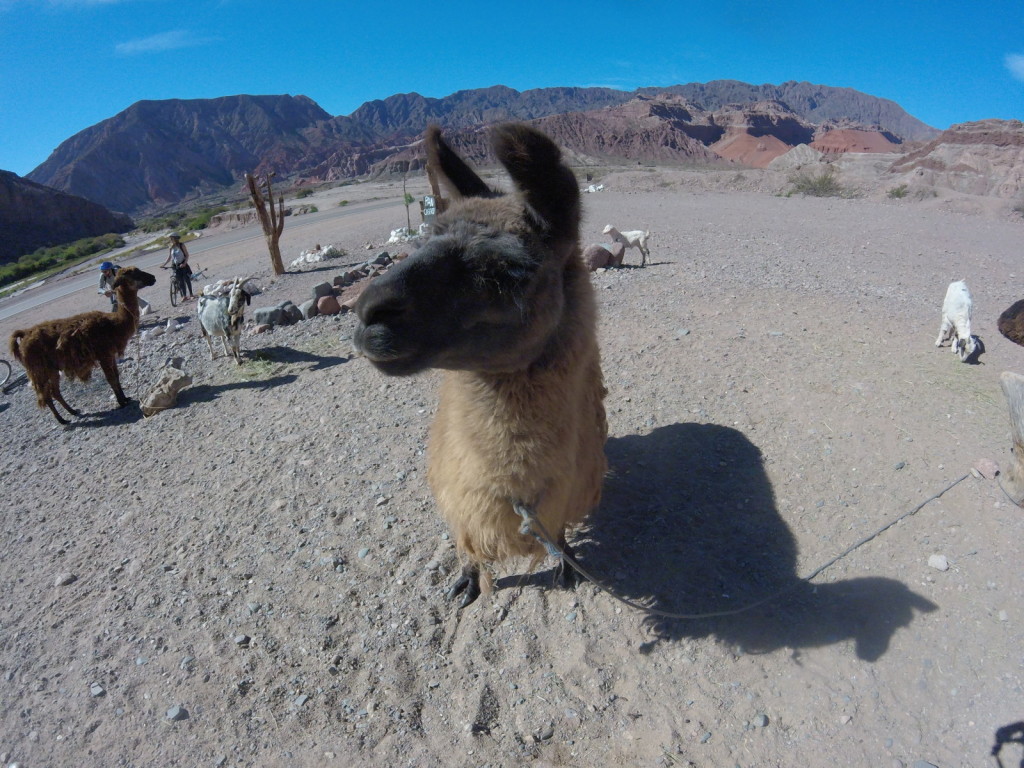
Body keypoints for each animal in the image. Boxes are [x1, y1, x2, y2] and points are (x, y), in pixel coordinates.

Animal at [8, 264, 155, 421]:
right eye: (133, 274)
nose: (153, 278)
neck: (114, 324)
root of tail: (25, 334)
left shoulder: (110, 354)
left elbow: (116, 376)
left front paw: (126, 398)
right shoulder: (103, 354)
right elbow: (111, 378)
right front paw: (121, 402)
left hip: (51, 368)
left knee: (54, 392)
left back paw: (73, 412)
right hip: (39, 369)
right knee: (46, 395)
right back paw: (62, 420)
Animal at [354, 123, 606, 610]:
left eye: (508, 269)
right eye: (421, 241)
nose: (369, 312)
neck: (515, 499)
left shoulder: (568, 493)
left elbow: (561, 531)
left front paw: (566, 563)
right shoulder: (460, 499)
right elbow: (467, 545)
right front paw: (468, 579)